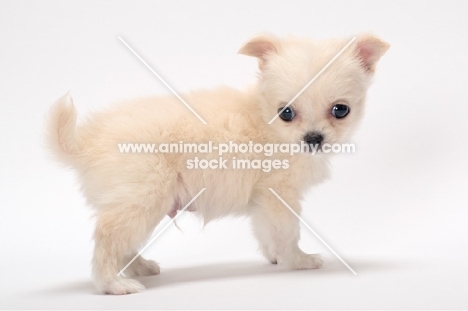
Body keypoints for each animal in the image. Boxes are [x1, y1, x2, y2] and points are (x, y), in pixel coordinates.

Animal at [46, 34, 388, 294]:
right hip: (143, 198)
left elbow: (267, 233)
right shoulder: (279, 197)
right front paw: (299, 261)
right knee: (109, 238)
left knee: (125, 242)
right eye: (286, 113)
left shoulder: (263, 201)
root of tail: (86, 143)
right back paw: (114, 285)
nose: (313, 138)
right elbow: (288, 233)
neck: (264, 119)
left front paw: (275, 258)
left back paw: (139, 268)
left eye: (340, 110)